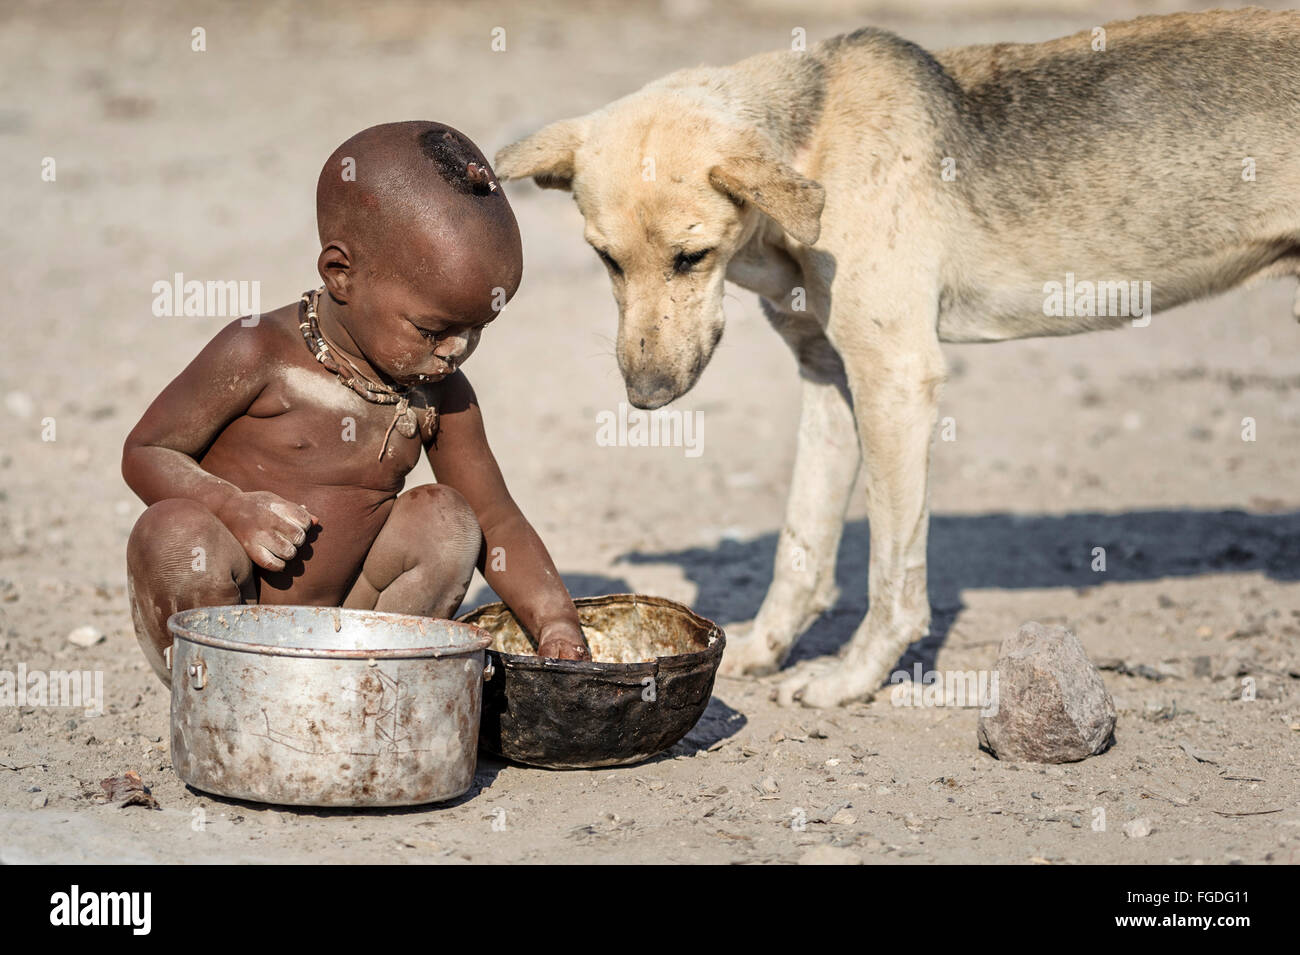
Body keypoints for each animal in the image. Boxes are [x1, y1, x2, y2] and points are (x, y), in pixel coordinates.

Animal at [496, 11, 1300, 706]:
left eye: (691, 257)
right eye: (606, 259)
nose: (646, 397)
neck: (814, 141)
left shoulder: (893, 377)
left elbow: (890, 569)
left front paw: (852, 678)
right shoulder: (829, 377)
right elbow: (801, 545)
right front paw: (760, 648)